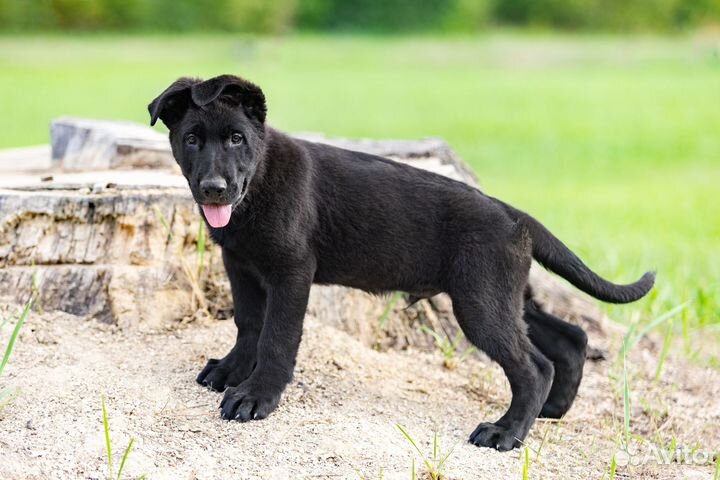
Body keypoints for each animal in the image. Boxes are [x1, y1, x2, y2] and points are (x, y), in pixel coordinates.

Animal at [149, 74, 656, 450]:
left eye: (236, 138)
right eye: (192, 139)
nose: (214, 189)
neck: (257, 186)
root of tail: (515, 216)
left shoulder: (291, 273)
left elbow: (277, 337)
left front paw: (257, 397)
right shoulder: (241, 265)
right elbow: (249, 324)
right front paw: (232, 371)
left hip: (480, 304)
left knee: (534, 366)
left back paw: (504, 432)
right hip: (503, 297)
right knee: (569, 339)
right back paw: (550, 411)